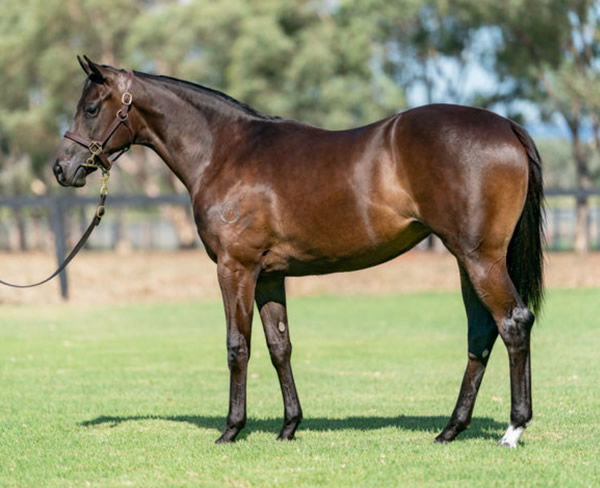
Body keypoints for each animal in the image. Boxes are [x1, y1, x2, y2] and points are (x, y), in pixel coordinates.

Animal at [54, 57, 548, 446]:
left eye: (92, 108)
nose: (62, 168)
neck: (223, 151)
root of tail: (507, 126)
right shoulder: (270, 275)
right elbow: (280, 346)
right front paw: (290, 425)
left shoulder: (236, 269)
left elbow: (237, 346)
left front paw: (232, 428)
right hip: (467, 261)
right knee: (481, 333)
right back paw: (451, 429)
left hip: (480, 259)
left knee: (513, 323)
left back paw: (513, 428)